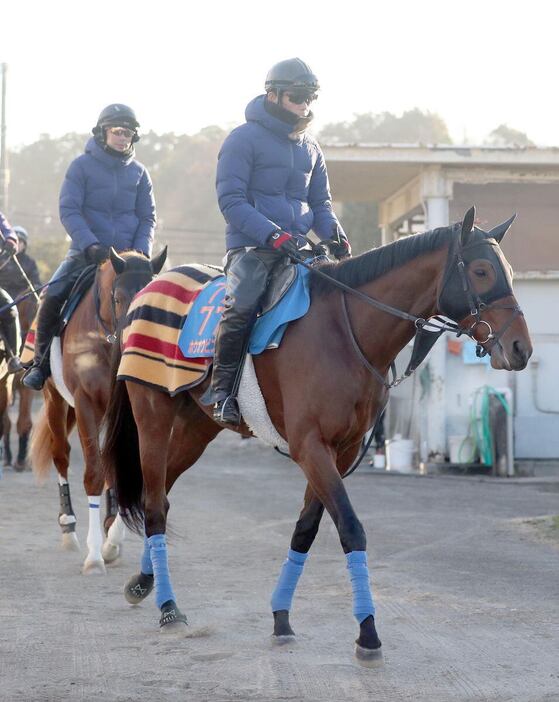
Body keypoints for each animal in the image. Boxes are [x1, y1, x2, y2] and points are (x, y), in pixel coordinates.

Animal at [29, 250, 167, 576]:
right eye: (118, 298)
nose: (133, 339)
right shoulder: (86, 404)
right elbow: (93, 473)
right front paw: (94, 556)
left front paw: (112, 541)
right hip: (55, 401)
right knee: (61, 455)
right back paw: (69, 528)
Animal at [101, 209, 532, 664]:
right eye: (482, 270)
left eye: (508, 271)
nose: (521, 348)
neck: (344, 331)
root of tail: (145, 291)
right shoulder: (311, 446)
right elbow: (350, 527)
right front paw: (367, 632)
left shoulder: (339, 450)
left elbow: (305, 530)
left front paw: (281, 618)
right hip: (153, 416)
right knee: (153, 503)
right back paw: (167, 607)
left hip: (196, 428)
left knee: (161, 495)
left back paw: (143, 583)